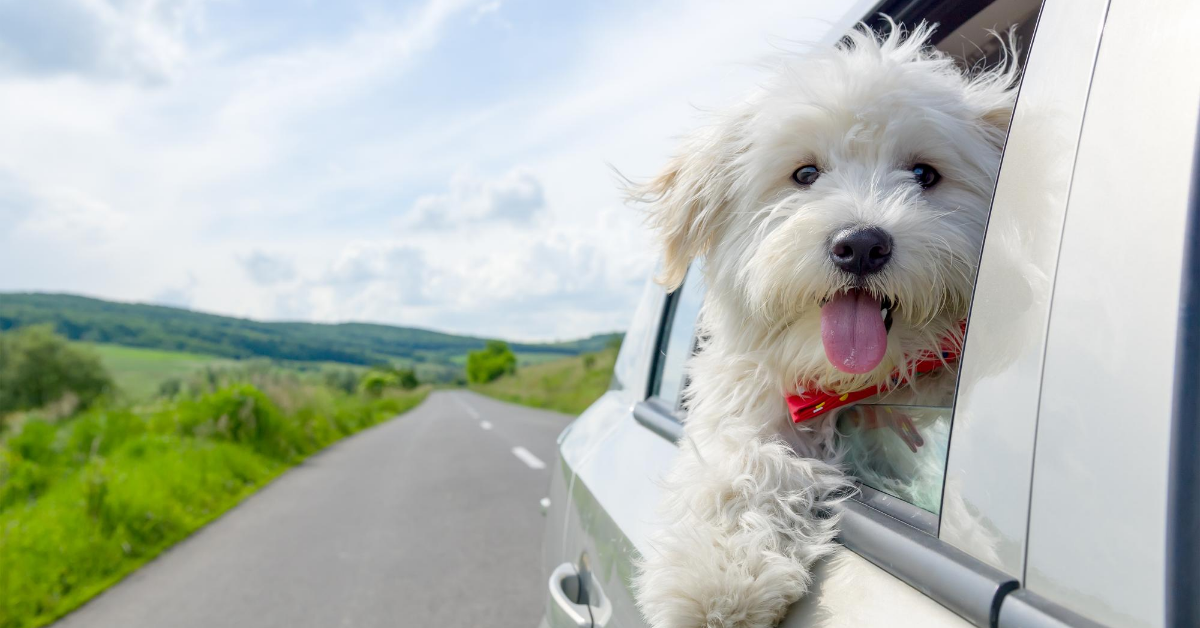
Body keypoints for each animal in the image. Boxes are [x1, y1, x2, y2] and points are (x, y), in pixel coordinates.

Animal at [633, 22, 1017, 624]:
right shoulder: (744, 400)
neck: (854, 383)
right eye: (805, 174)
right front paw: (717, 578)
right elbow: (739, 459)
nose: (860, 245)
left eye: (924, 173)